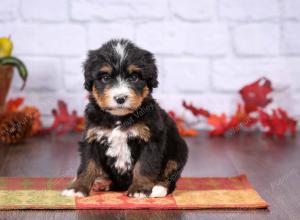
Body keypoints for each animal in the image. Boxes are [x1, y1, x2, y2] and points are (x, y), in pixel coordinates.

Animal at [61, 38, 188, 199]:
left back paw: (159, 188)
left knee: (170, 174)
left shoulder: (151, 139)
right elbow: (87, 165)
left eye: (133, 77)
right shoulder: (92, 136)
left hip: (178, 151)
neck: (119, 118)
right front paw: (77, 188)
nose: (120, 98)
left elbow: (144, 166)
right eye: (105, 77)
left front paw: (140, 189)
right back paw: (101, 182)